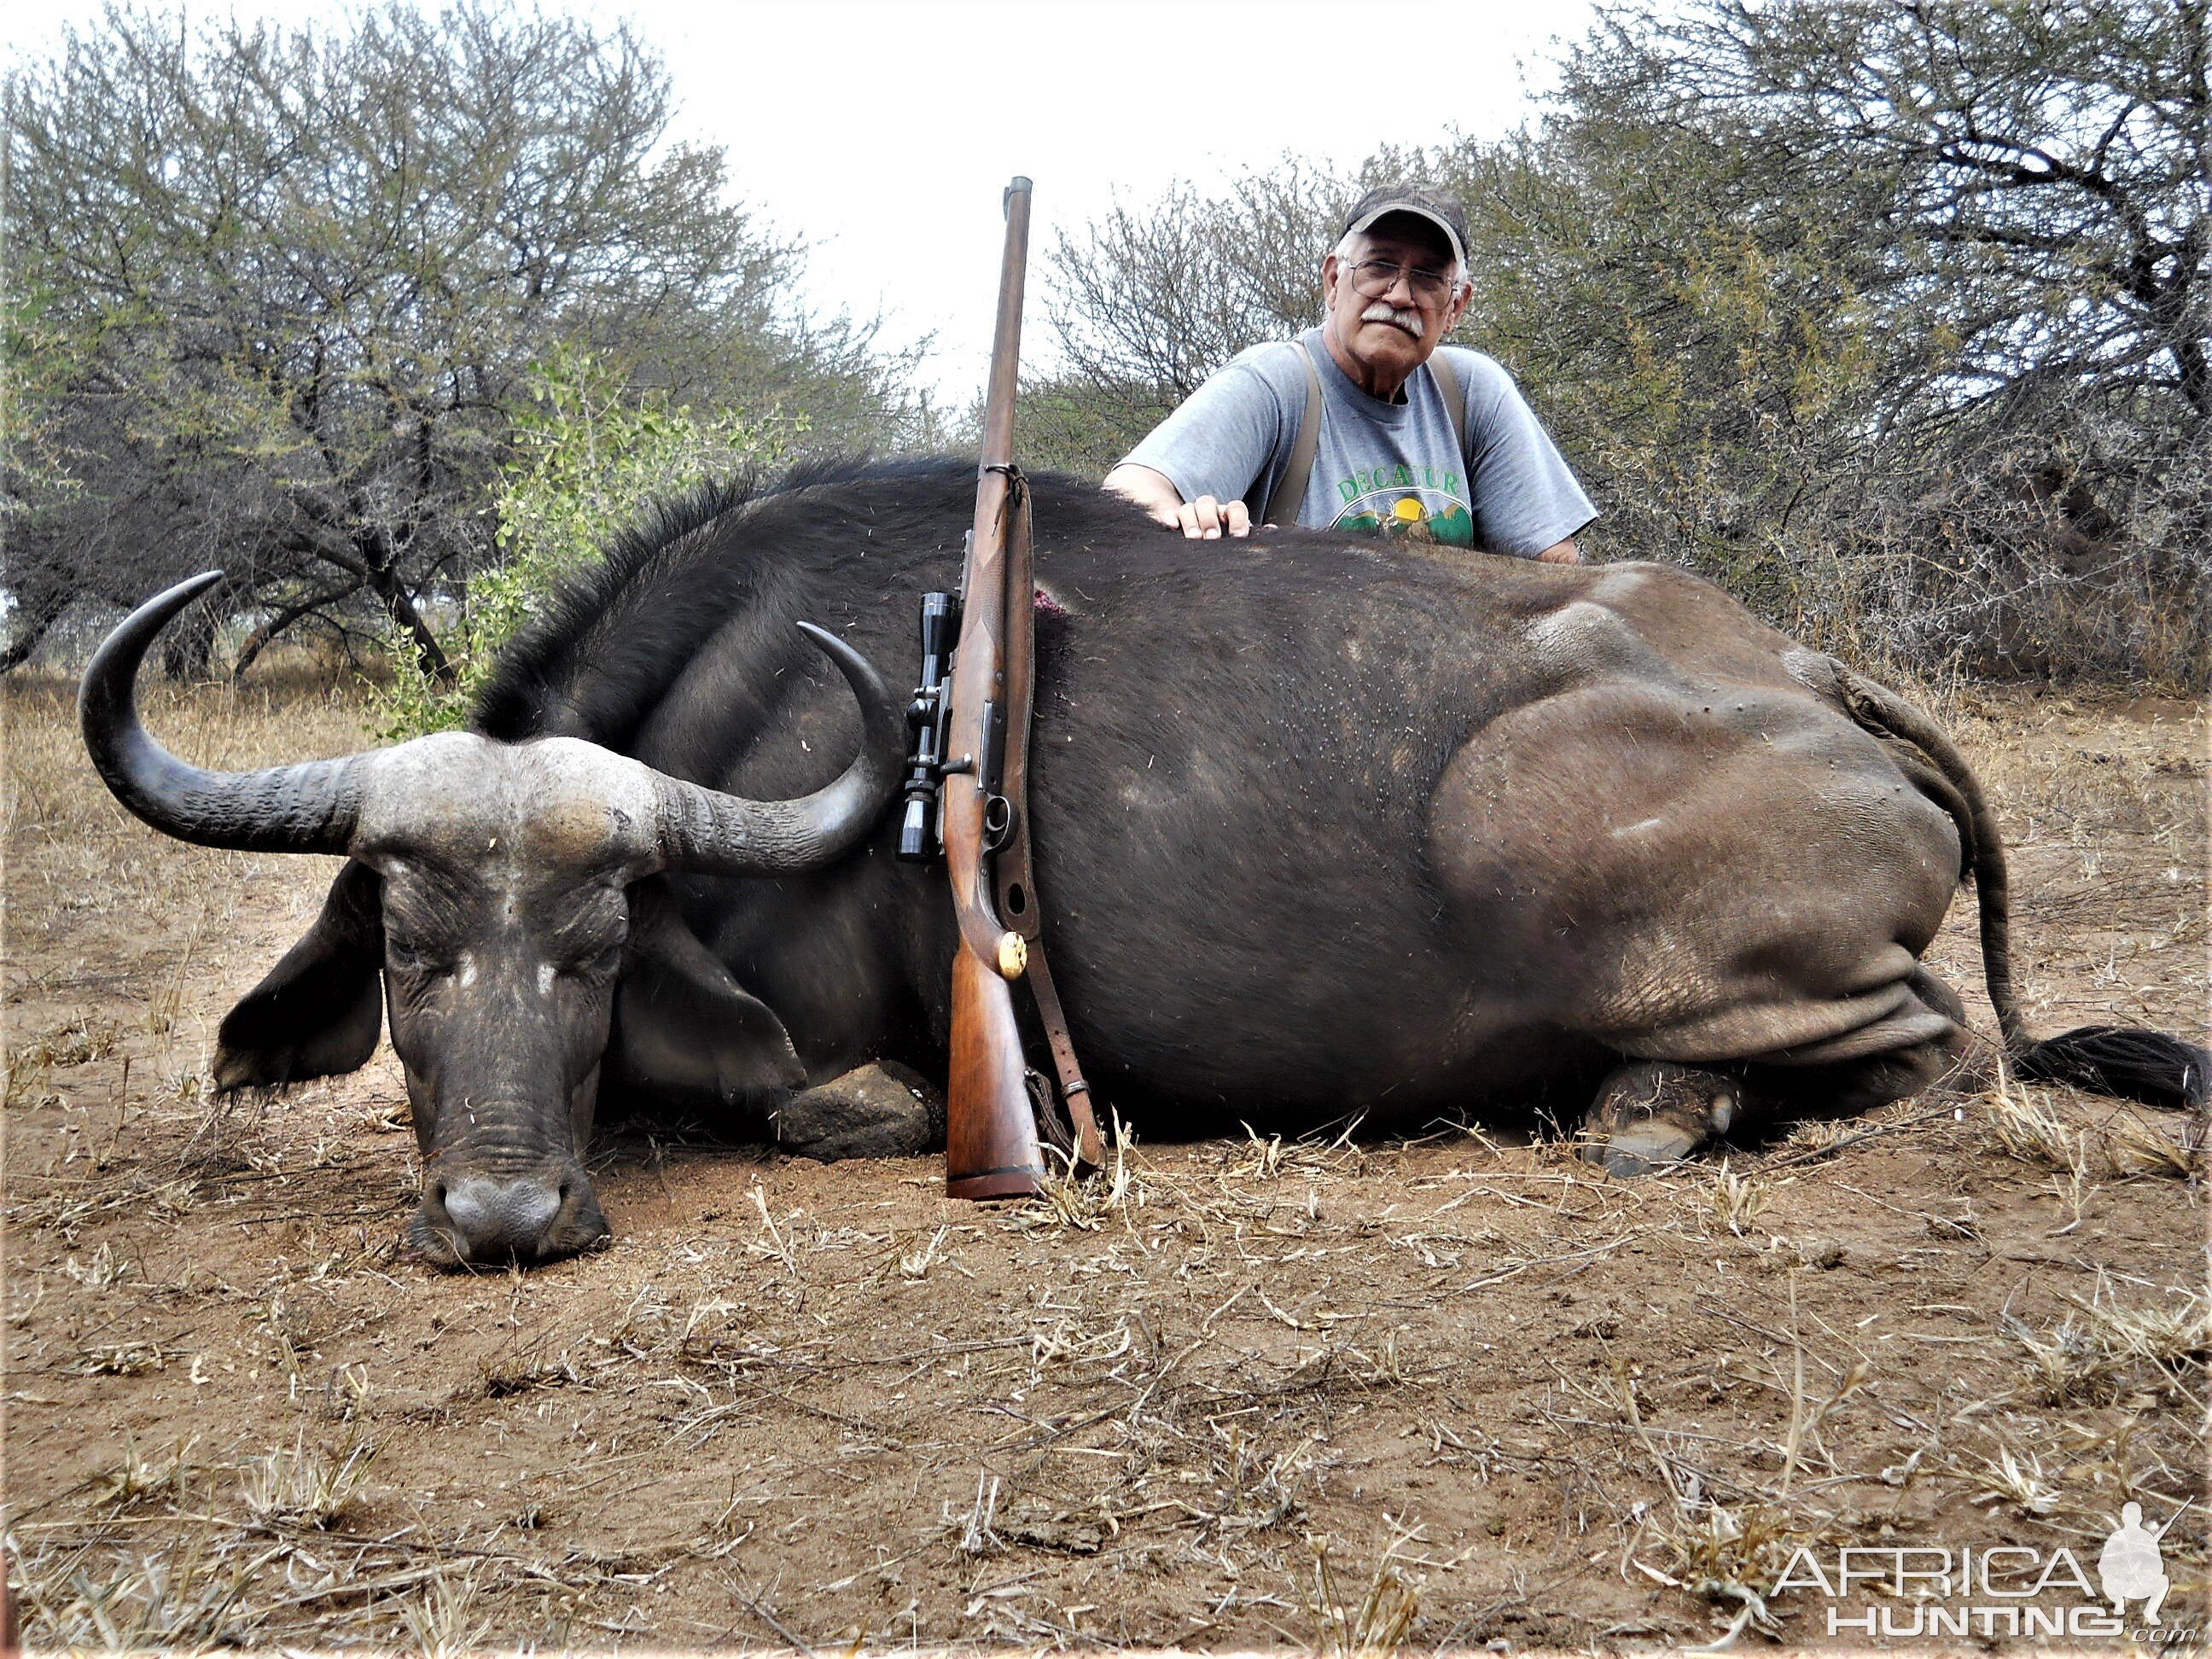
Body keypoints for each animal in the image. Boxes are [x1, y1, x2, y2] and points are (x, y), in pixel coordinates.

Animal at [81, 451, 2194, 1256]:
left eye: (601, 949)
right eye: (406, 951)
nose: (508, 1216)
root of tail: (1820, 678)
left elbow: (803, 1101)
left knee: (1942, 1048)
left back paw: (1660, 1111)